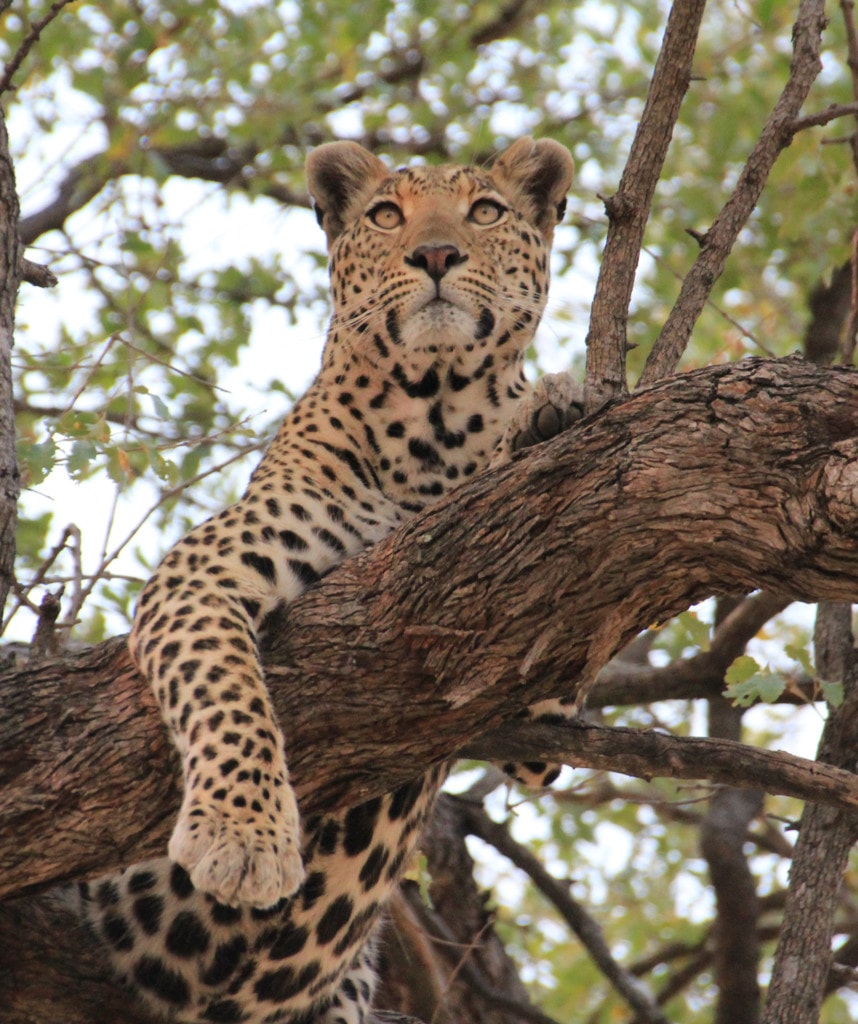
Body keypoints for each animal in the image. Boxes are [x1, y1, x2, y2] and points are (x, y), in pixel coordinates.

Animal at [78, 136, 583, 1024]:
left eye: (485, 210)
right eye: (386, 215)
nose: (437, 255)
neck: (437, 420)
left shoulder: (539, 706)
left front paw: (544, 414)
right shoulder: (202, 569)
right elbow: (227, 691)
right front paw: (242, 836)